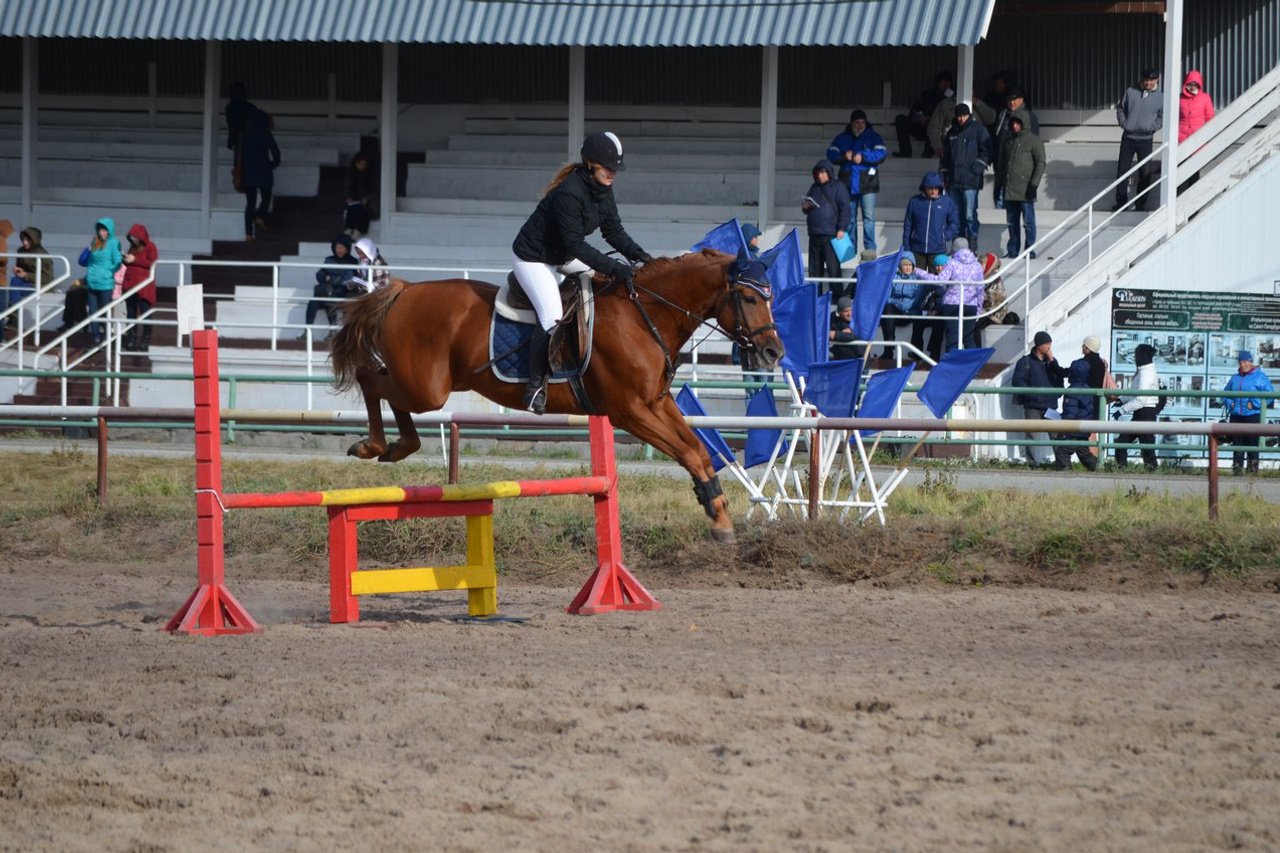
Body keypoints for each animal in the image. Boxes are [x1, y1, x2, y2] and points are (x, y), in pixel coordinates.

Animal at [330, 245, 783, 537]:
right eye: (748, 297)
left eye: (770, 297)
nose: (773, 352)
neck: (645, 314)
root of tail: (404, 290)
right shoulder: (630, 411)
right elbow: (688, 452)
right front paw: (719, 517)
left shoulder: (657, 403)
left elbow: (700, 451)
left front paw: (717, 508)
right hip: (426, 387)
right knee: (371, 379)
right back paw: (374, 445)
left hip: (428, 383)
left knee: (384, 387)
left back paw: (396, 446)